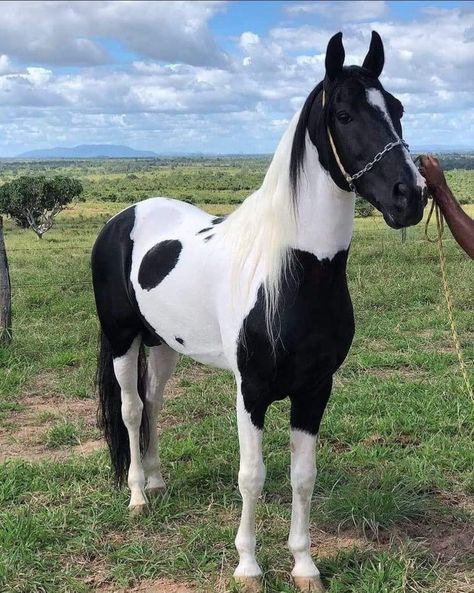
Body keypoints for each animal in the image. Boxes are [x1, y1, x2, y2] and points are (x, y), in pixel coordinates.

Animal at [91, 33, 426, 592]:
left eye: (397, 109)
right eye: (343, 114)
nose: (412, 196)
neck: (291, 273)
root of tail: (124, 217)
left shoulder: (315, 388)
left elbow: (302, 476)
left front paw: (304, 565)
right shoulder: (251, 389)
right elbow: (252, 476)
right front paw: (247, 566)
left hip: (163, 345)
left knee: (154, 401)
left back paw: (157, 482)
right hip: (122, 339)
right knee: (132, 408)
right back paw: (137, 495)